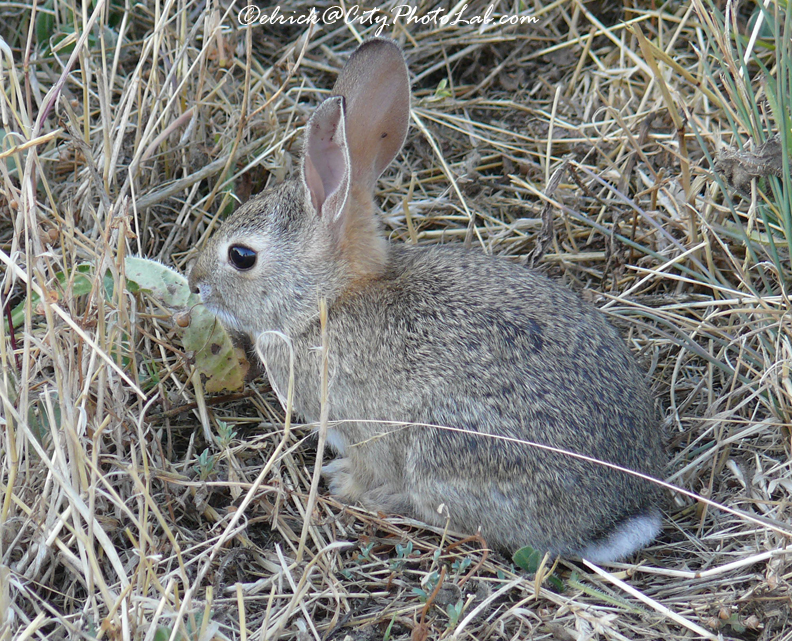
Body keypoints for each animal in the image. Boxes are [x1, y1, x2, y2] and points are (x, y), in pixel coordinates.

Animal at [188, 38, 666, 563]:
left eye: (241, 256)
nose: (194, 282)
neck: (327, 301)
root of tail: (620, 514)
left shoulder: (361, 429)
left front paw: (346, 482)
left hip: (443, 451)